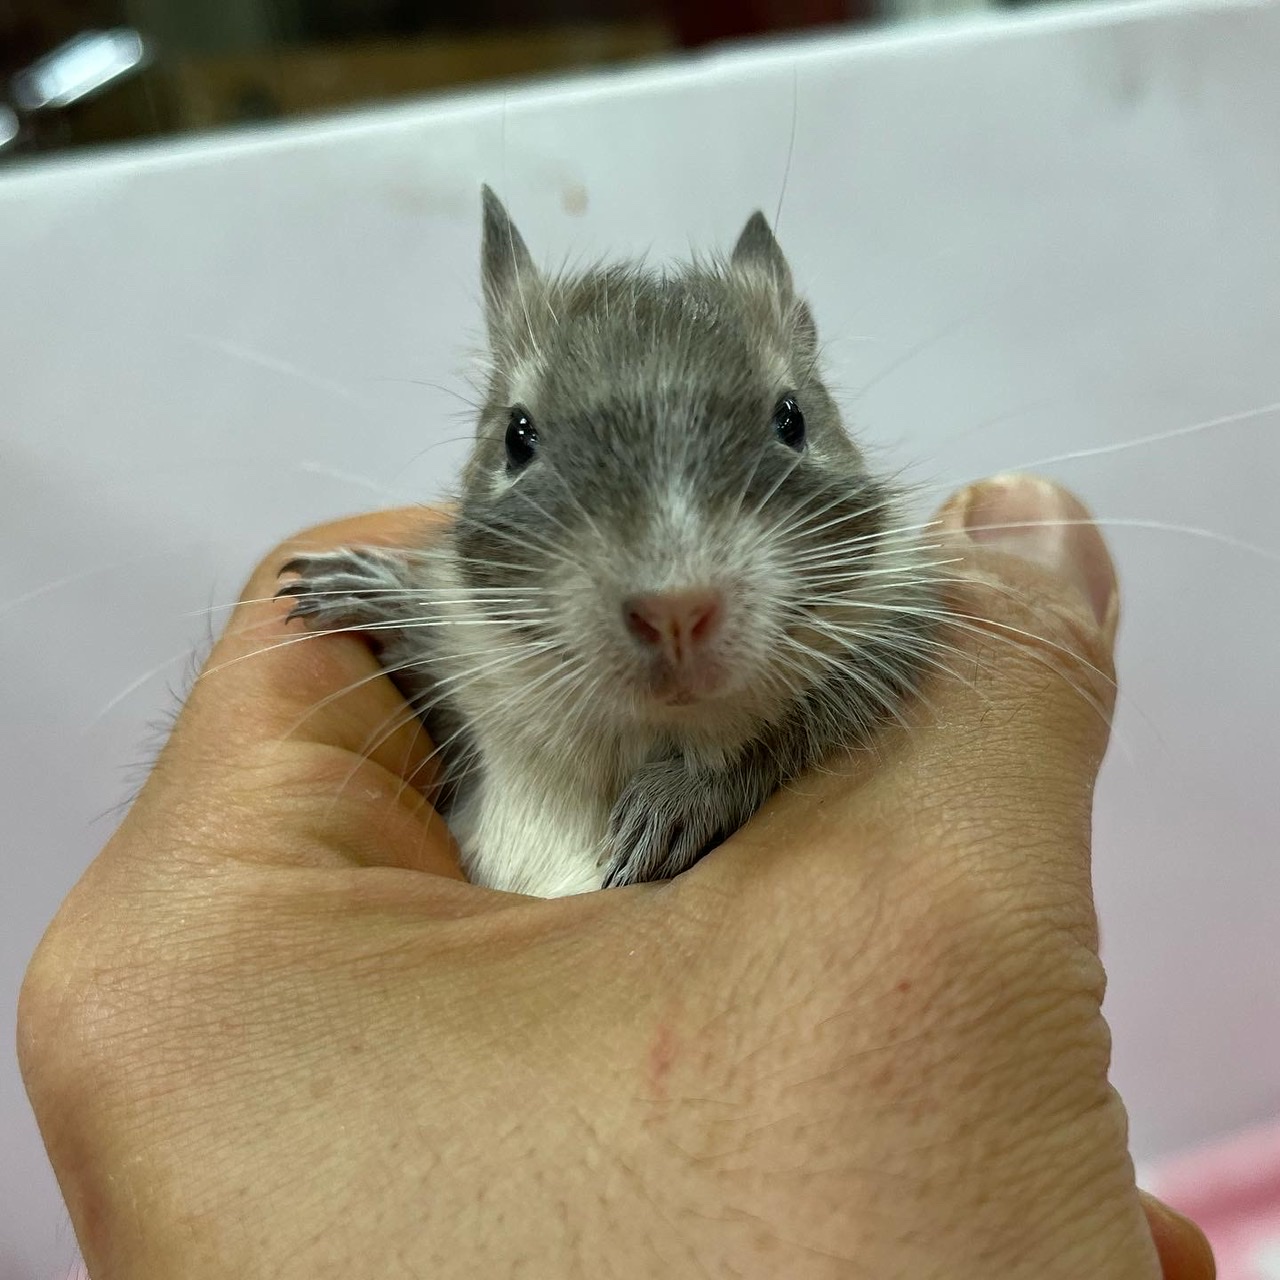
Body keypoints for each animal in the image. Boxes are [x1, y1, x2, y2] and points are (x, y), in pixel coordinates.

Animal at [277, 187, 943, 896]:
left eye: (792, 420)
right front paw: (355, 587)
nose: (676, 614)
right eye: (516, 437)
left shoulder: (884, 648)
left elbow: (773, 745)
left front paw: (663, 812)